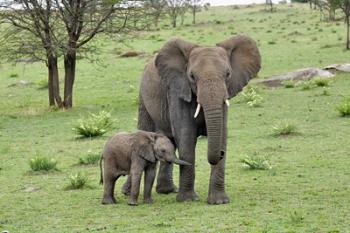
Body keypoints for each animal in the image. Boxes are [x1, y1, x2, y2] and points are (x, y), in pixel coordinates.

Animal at [123, 34, 260, 204]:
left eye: (228, 74)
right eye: (192, 77)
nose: (221, 153)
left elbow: (222, 134)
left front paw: (219, 202)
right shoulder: (178, 90)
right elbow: (186, 136)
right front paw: (187, 200)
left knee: (169, 140)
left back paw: (167, 191)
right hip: (143, 97)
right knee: (146, 130)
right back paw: (127, 192)